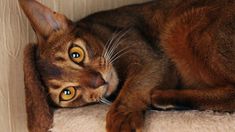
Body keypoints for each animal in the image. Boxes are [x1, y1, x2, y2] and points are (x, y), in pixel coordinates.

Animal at [19, 0, 235, 131]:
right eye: (67, 93)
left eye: (76, 54)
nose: (98, 81)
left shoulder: (152, 58)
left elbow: (133, 87)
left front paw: (121, 118)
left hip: (182, 26)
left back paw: (164, 97)